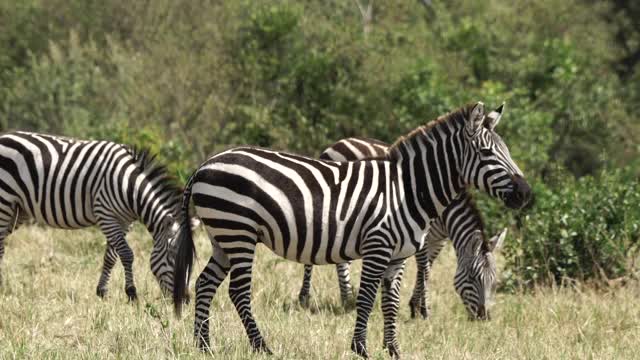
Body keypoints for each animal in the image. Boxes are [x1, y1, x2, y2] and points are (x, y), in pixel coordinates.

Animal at [0, 132, 188, 300]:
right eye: (172, 257)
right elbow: (126, 254)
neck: (130, 189)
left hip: (17, 210)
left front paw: (102, 291)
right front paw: (131, 293)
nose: (185, 299)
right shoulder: (105, 214)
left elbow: (111, 256)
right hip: (4, 201)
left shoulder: (124, 222)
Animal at [296, 136, 510, 320]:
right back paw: (311, 297)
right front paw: (423, 309)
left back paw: (345, 297)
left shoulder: (437, 240)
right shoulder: (421, 235)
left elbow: (427, 266)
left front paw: (414, 305)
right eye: (473, 277)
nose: (484, 317)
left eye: (494, 281)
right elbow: (424, 269)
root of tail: (340, 142)